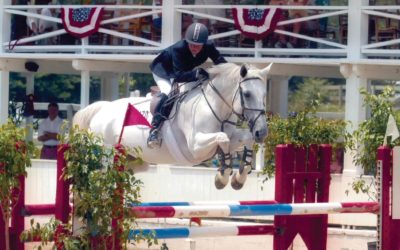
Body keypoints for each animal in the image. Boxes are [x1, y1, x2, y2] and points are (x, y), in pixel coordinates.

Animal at [73, 62, 270, 189]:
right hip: (105, 154)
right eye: (247, 94)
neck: (214, 106)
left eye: (264, 95)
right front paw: (222, 177)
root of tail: (101, 109)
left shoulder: (233, 136)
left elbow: (245, 139)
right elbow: (223, 139)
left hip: (134, 161)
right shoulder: (195, 147)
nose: (262, 132)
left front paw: (239, 177)